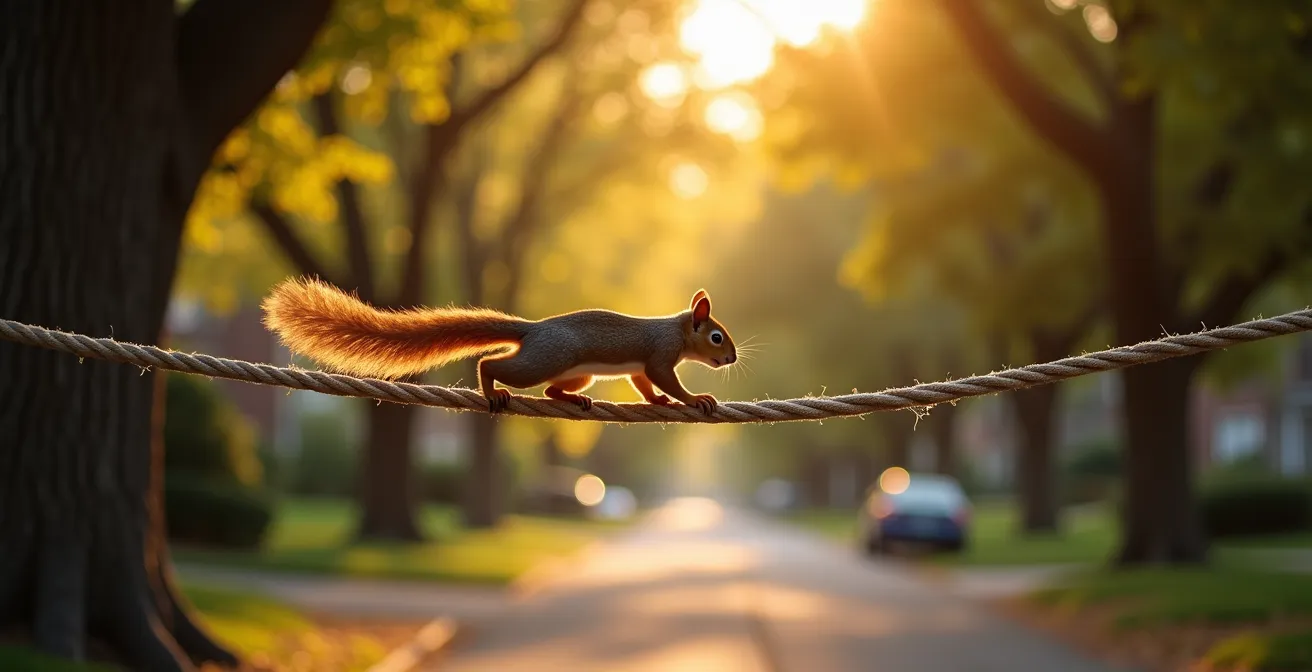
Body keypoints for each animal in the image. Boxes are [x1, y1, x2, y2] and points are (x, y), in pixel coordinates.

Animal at [260, 277, 739, 415]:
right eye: (716, 336)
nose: (731, 356)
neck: (677, 329)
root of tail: (532, 329)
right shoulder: (659, 353)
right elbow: (661, 378)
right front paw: (693, 398)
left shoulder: (642, 366)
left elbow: (644, 384)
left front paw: (660, 401)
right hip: (547, 358)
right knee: (495, 365)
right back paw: (493, 390)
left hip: (574, 371)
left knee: (552, 389)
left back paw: (575, 400)